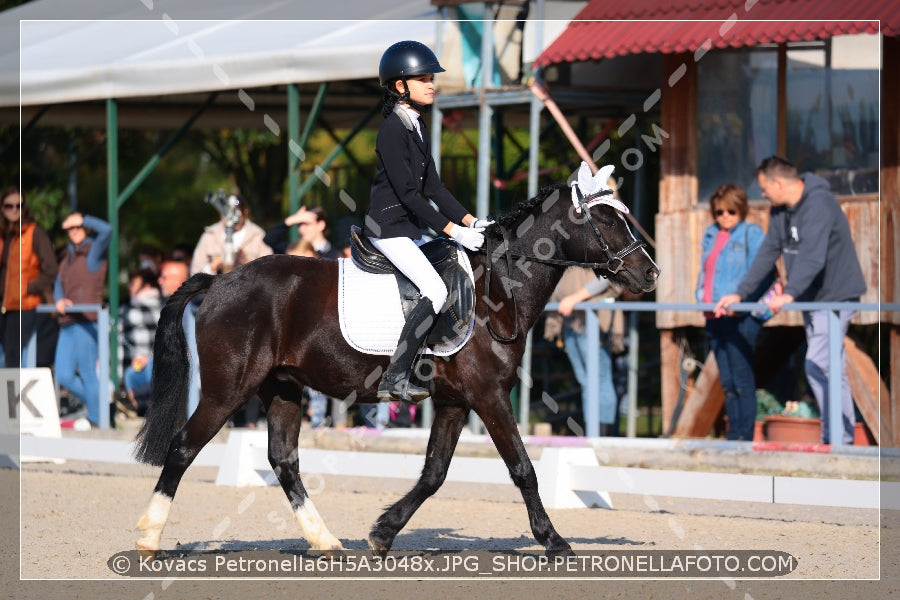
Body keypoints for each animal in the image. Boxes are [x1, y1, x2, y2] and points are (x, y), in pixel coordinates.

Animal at [134, 173, 656, 556]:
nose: (651, 273)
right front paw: (554, 541)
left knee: (284, 462)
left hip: (281, 388)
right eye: (606, 218)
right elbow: (522, 467)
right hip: (228, 390)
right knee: (182, 449)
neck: (499, 289)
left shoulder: (455, 402)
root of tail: (219, 279)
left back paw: (327, 542)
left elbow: (433, 474)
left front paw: (383, 531)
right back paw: (148, 538)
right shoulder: (489, 395)